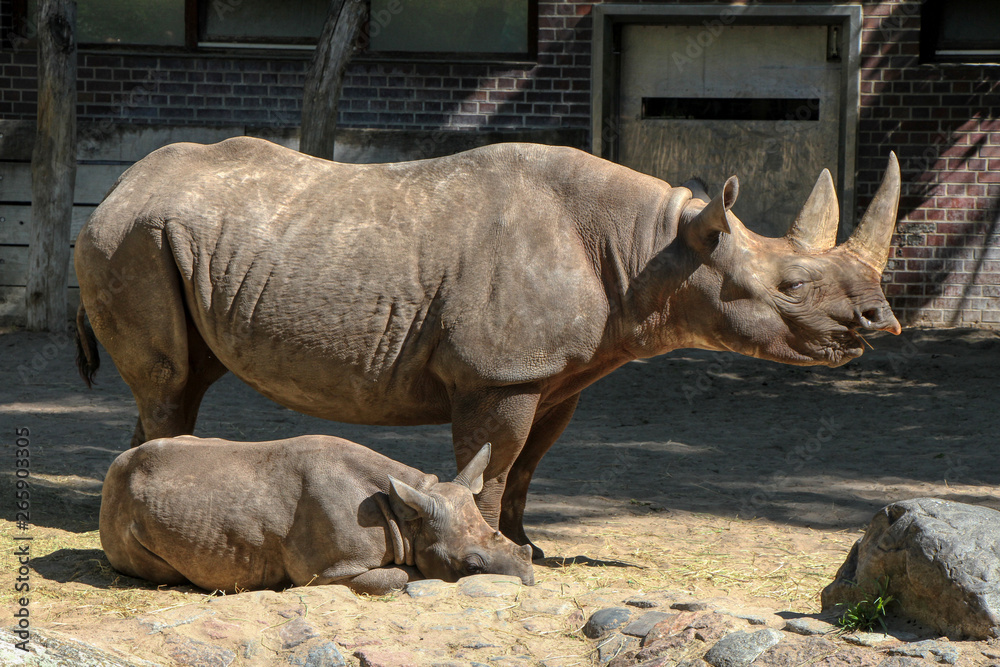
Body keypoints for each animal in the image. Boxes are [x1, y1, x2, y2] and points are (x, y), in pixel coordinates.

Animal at [75, 138, 902, 557]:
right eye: (792, 286)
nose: (879, 319)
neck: (655, 250)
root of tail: (116, 185)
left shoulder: (561, 373)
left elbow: (530, 465)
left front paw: (529, 545)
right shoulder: (499, 372)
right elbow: (495, 464)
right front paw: (496, 546)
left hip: (169, 237)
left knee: (185, 378)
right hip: (132, 238)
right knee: (169, 380)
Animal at [100, 437, 534, 593]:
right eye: (472, 567)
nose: (529, 578)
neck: (409, 515)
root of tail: (115, 465)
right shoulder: (329, 571)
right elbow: (396, 576)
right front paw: (413, 573)